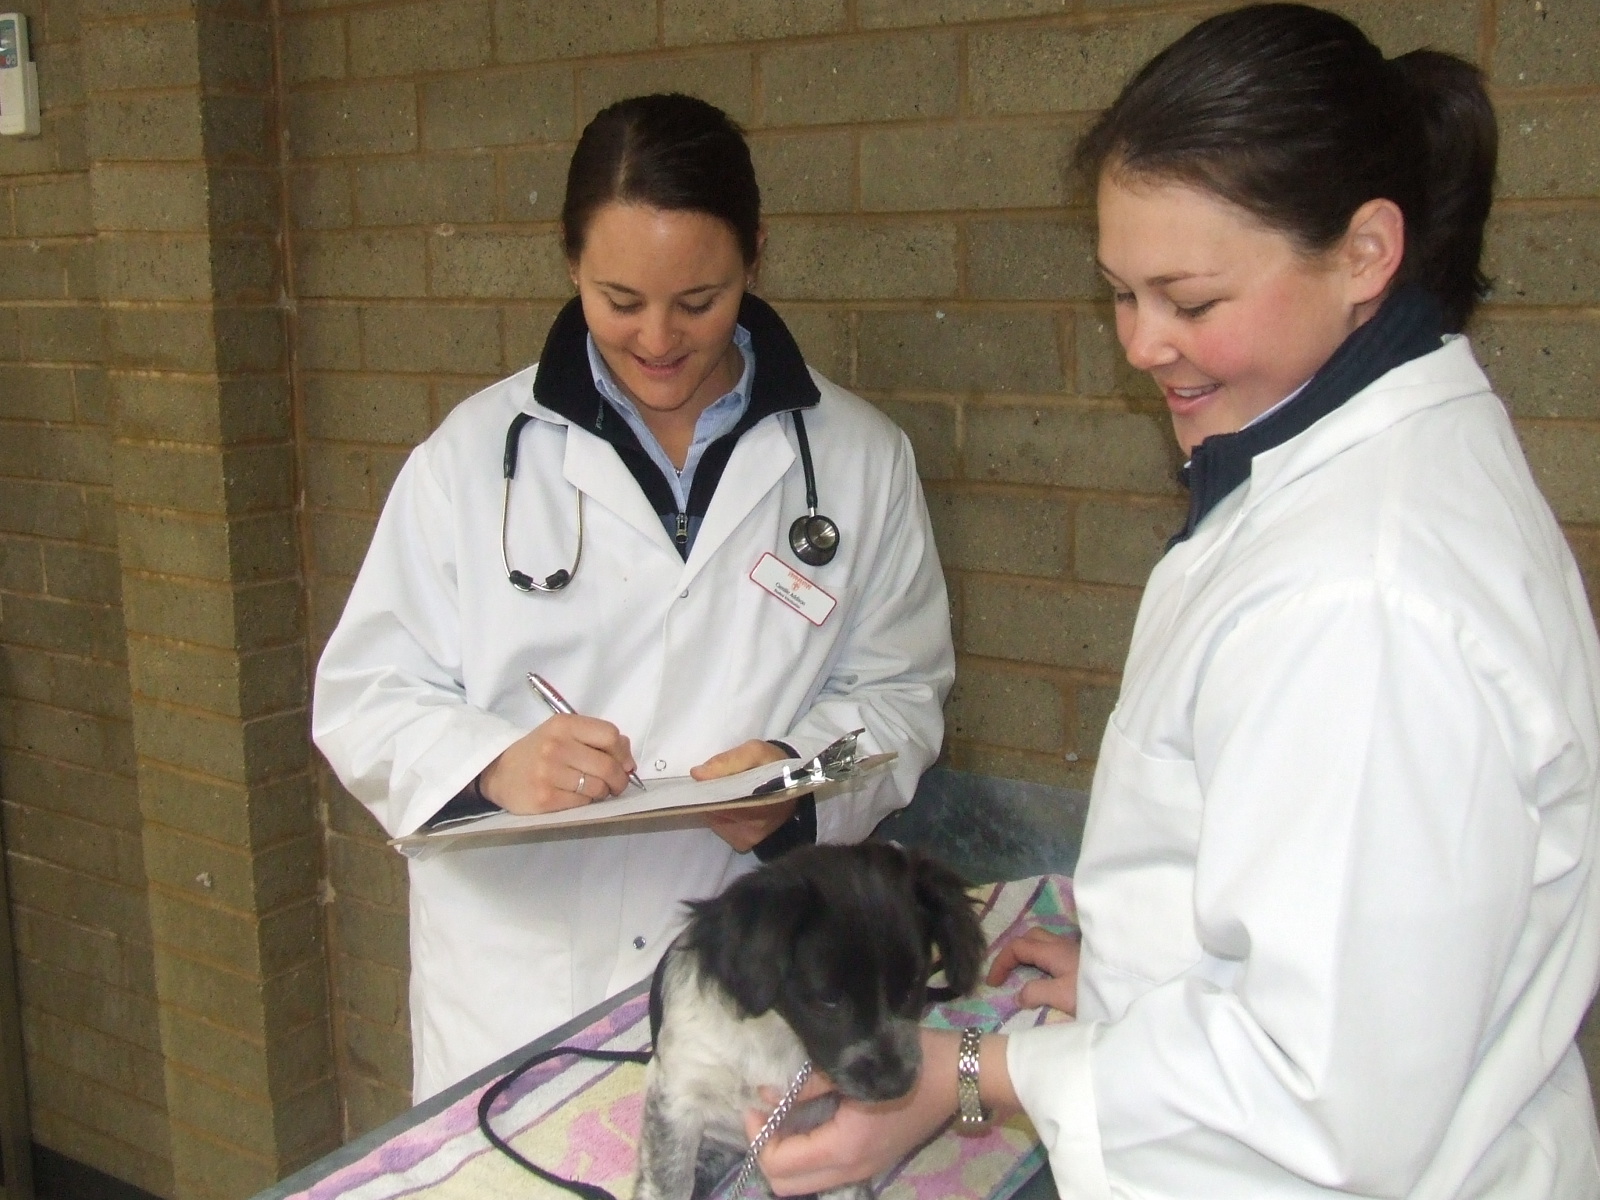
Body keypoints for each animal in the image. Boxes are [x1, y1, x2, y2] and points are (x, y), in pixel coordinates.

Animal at [627, 838, 979, 1200]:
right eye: (829, 999)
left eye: (913, 985)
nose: (897, 1086)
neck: (780, 1039)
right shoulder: (676, 1099)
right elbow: (667, 1183)